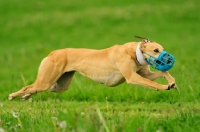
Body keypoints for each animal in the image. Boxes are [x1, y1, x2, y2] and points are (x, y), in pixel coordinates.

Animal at [8, 39, 176, 100]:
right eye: (155, 50)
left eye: (162, 49)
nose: (169, 59)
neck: (134, 52)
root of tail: (53, 53)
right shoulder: (132, 77)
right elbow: (152, 83)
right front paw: (164, 87)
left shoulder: (144, 73)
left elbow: (162, 72)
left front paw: (172, 82)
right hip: (47, 80)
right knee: (29, 87)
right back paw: (12, 96)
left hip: (59, 85)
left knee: (34, 88)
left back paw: (26, 96)